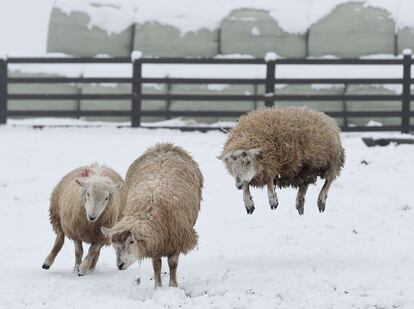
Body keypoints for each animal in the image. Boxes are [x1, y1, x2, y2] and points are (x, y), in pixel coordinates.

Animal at [101, 143, 203, 288]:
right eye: (114, 245)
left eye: (131, 241)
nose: (120, 265)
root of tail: (163, 146)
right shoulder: (155, 242)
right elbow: (156, 265)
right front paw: (158, 287)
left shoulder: (176, 240)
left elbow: (173, 264)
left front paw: (173, 286)